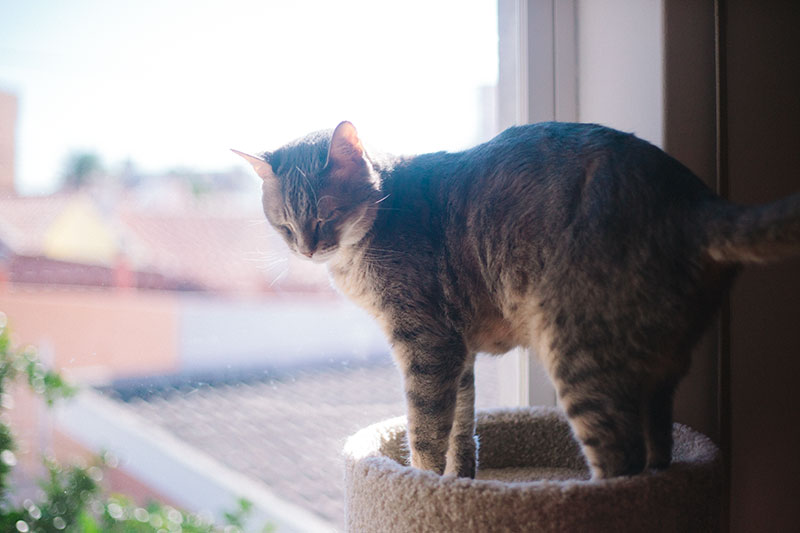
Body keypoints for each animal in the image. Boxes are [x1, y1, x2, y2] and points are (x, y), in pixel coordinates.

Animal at [234, 120, 796, 478]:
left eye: (325, 216)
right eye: (284, 226)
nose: (308, 248)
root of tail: (696, 200)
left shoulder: (427, 345)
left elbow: (426, 430)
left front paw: (422, 483)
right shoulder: (457, 352)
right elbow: (462, 429)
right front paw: (456, 486)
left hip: (579, 354)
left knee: (621, 462)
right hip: (658, 372)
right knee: (659, 455)